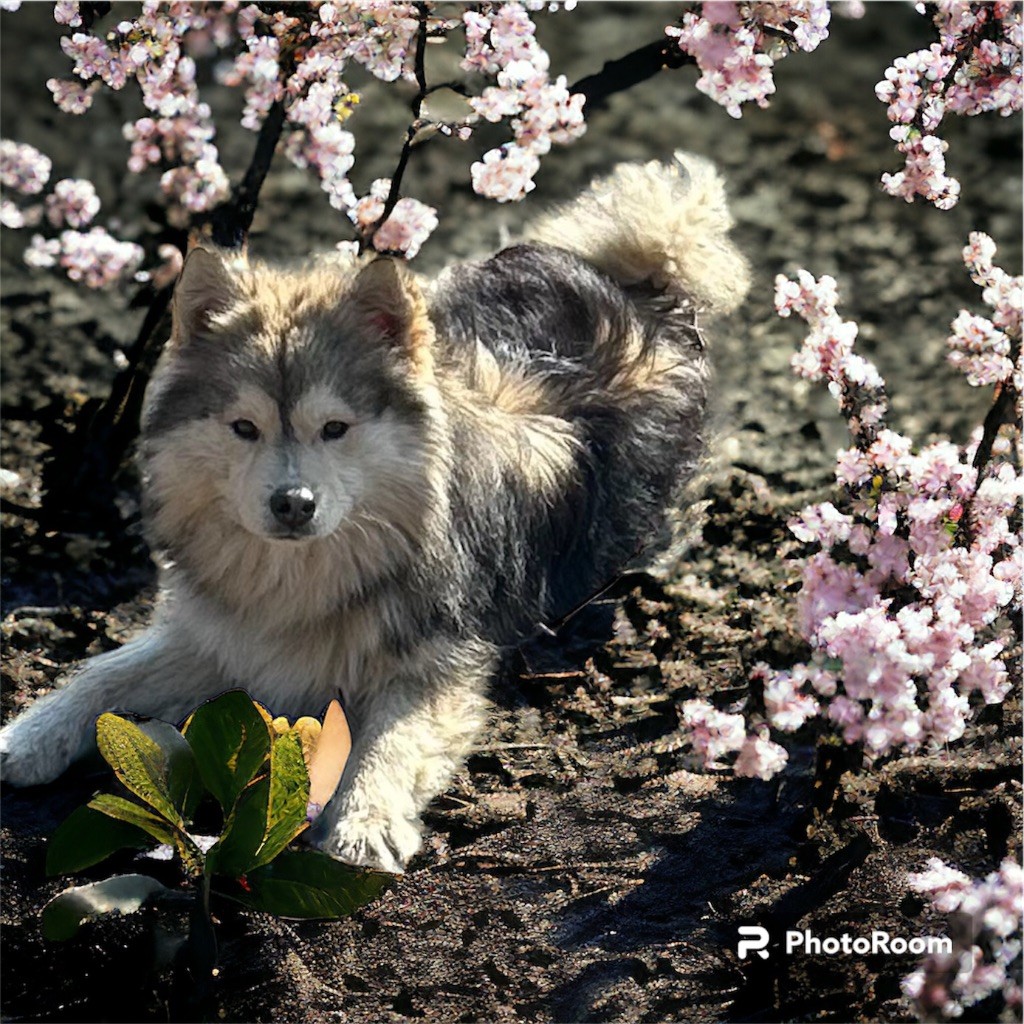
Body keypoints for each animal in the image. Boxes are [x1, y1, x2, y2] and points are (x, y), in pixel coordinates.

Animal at [2, 153, 753, 872]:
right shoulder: (221, 638)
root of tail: (635, 284)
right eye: (244, 427)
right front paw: (28, 734)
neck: (303, 580)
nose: (293, 503)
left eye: (335, 428)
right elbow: (105, 670)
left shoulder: (438, 662)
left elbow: (392, 739)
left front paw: (364, 821)